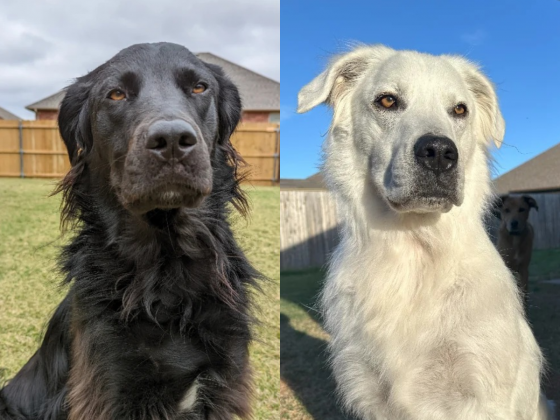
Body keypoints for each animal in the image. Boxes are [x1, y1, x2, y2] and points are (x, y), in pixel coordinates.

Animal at [0, 42, 262, 420]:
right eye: (116, 94)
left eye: (200, 87)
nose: (172, 140)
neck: (166, 269)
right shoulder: (110, 388)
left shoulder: (225, 381)